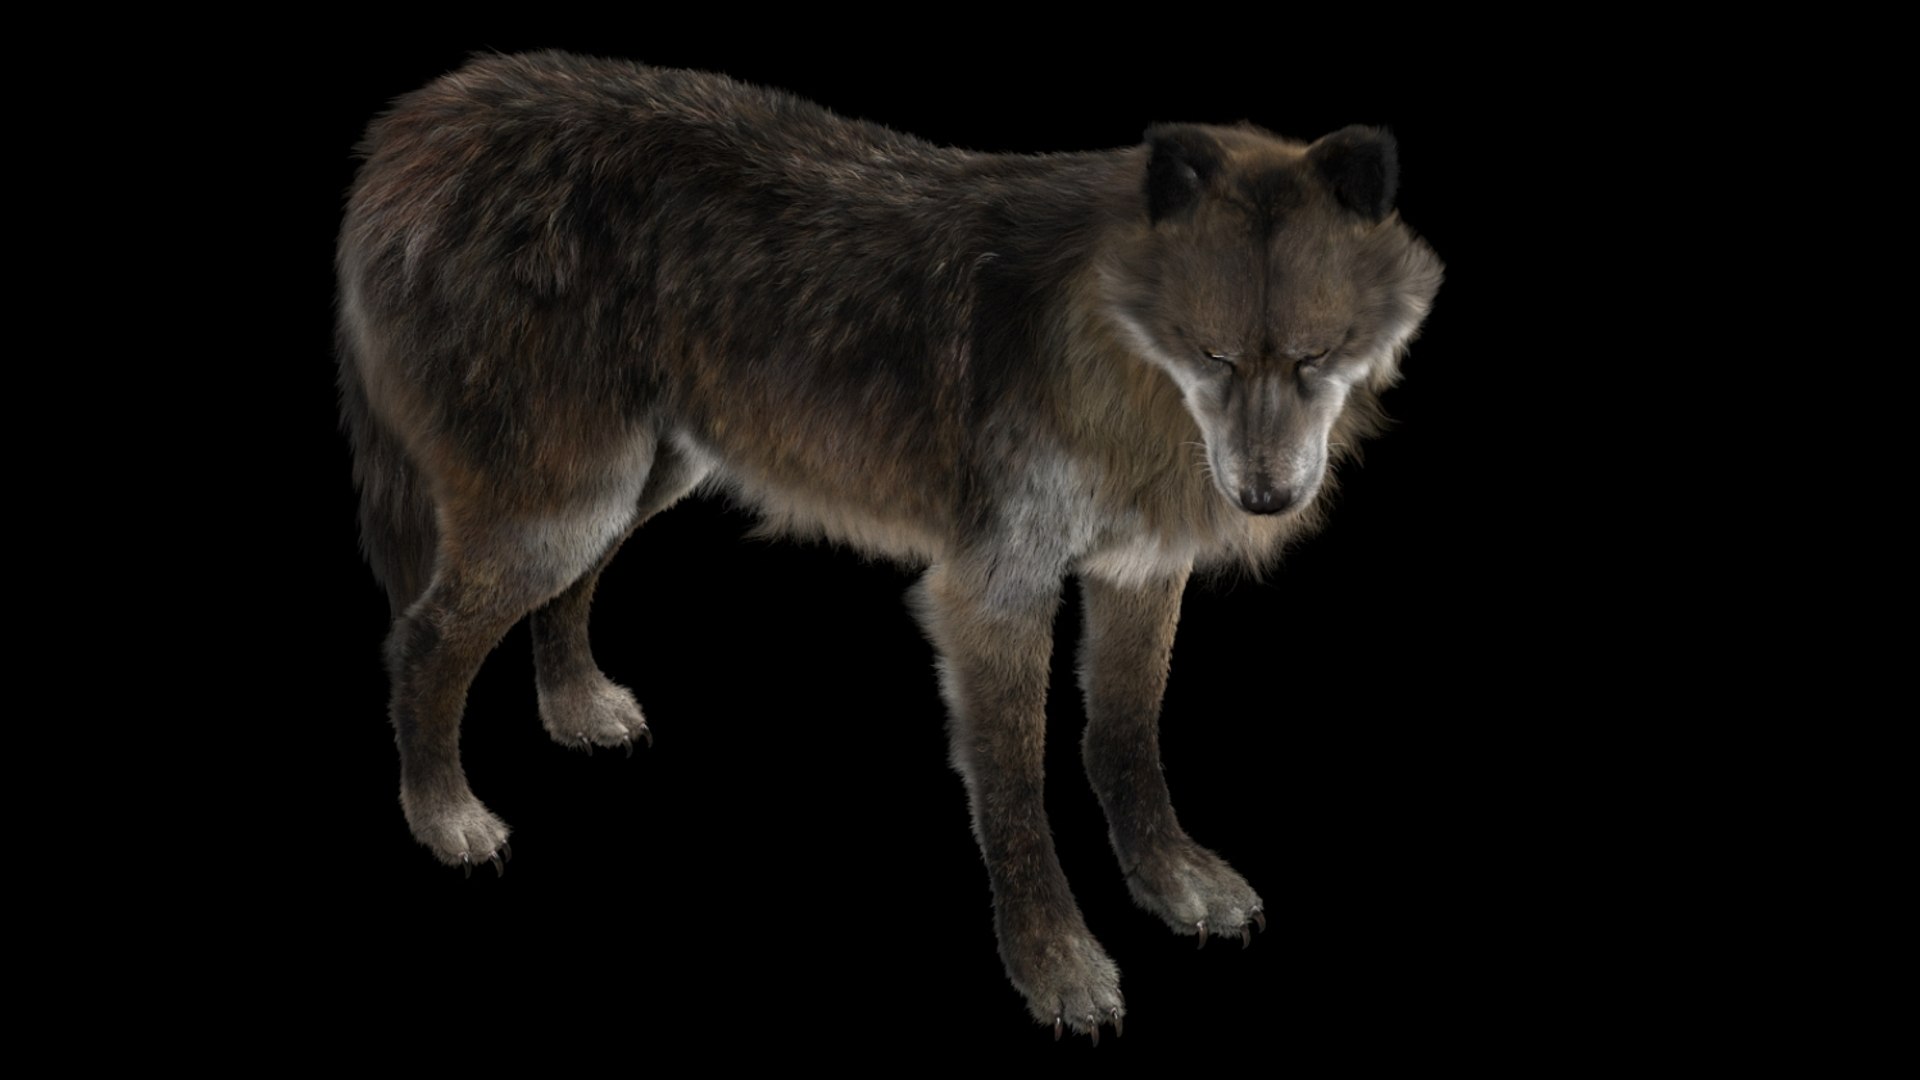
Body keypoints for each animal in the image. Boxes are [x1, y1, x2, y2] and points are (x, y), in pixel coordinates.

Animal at [338, 50, 1441, 1041]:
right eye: (1213, 355)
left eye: (1318, 355)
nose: (1266, 496)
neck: (1109, 351)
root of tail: (419, 120)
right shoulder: (992, 591)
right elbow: (1015, 788)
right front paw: (1056, 964)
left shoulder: (1138, 572)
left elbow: (1126, 737)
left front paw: (1171, 880)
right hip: (567, 498)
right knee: (422, 637)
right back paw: (444, 815)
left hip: (634, 478)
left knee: (564, 591)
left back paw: (575, 709)